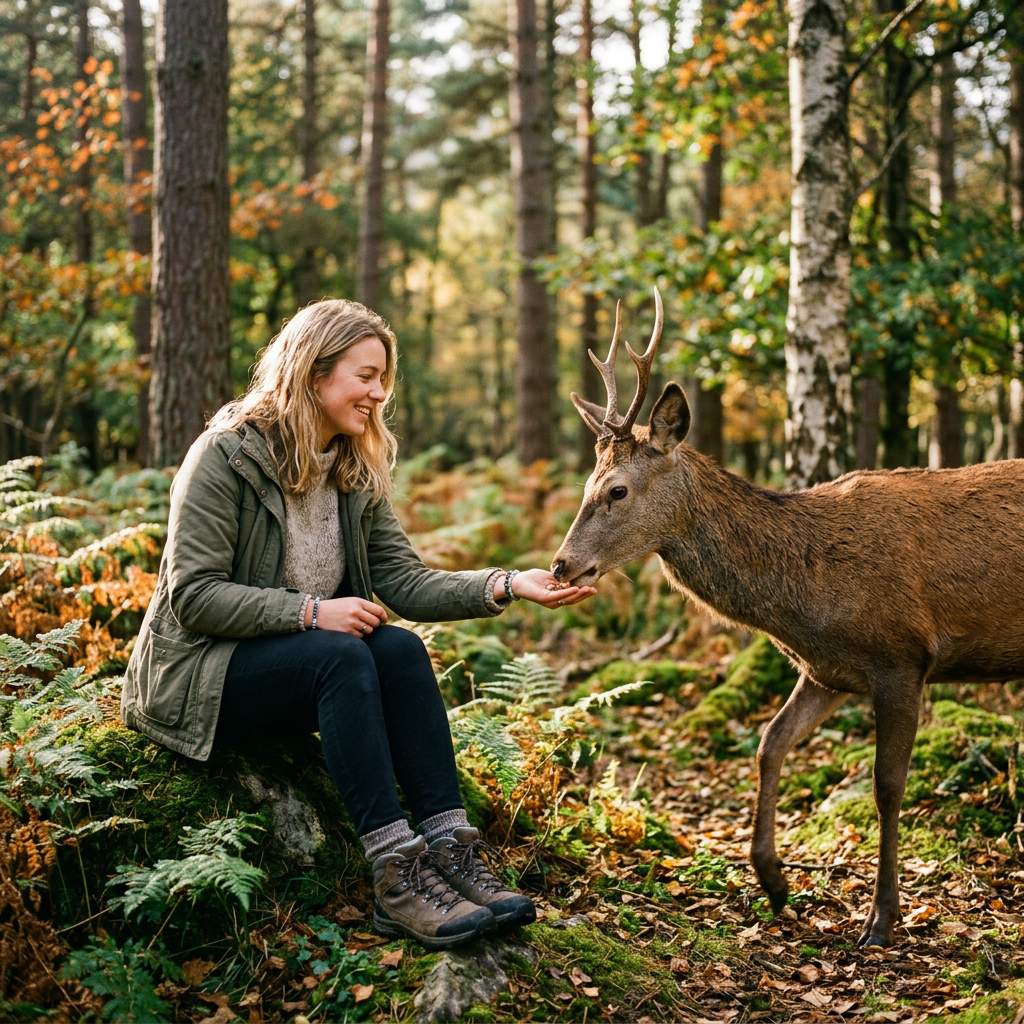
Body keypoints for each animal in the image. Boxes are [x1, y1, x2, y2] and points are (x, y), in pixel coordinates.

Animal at [552, 287, 1024, 949]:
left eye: (616, 489)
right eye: (585, 485)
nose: (562, 563)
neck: (808, 596)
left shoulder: (904, 656)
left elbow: (887, 785)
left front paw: (881, 917)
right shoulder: (828, 672)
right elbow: (769, 743)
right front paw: (774, 883)